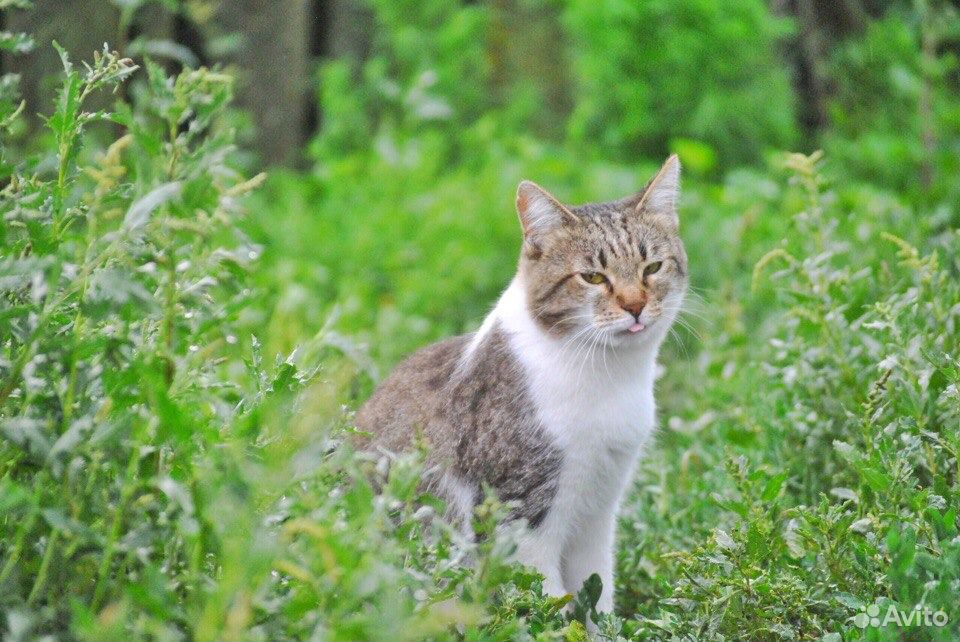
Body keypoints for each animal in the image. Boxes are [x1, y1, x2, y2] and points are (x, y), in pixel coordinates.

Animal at [356, 154, 688, 616]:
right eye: (593, 277)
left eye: (652, 267)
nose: (635, 305)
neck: (607, 376)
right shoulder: (518, 517)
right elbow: (544, 603)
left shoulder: (599, 510)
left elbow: (597, 592)